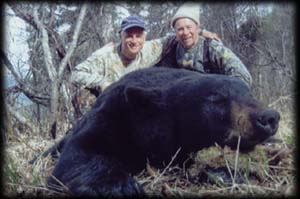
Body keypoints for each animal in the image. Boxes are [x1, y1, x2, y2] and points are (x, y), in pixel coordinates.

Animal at [47, 67, 278, 196]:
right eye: (216, 98)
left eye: (249, 93)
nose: (269, 118)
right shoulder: (111, 114)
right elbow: (79, 154)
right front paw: (119, 186)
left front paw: (229, 175)